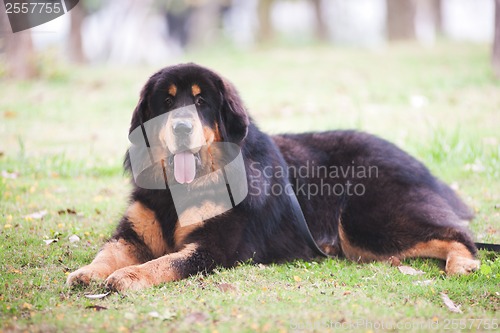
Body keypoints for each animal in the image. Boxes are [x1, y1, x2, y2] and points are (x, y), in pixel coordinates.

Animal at [64, 63, 478, 290]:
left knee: (460, 235)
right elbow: (109, 252)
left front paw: (128, 277)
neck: (180, 190)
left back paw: (463, 264)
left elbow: (163, 263)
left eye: (200, 102)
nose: (181, 126)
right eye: (166, 102)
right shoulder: (133, 233)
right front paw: (87, 272)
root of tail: (414, 161)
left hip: (365, 223)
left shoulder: (214, 247)